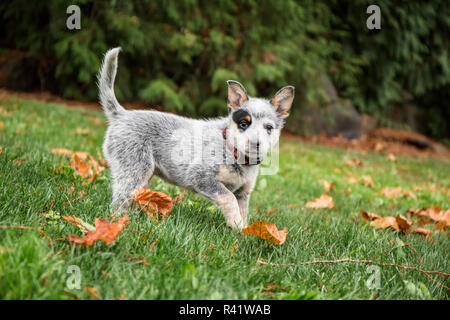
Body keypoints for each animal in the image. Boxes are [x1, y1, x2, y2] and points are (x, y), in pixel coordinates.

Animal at [98, 47, 294, 230]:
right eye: (243, 123)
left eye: (269, 128)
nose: (255, 143)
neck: (232, 151)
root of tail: (122, 115)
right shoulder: (201, 176)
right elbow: (227, 196)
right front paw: (236, 223)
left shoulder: (243, 193)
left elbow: (242, 210)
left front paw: (243, 230)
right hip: (135, 169)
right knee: (120, 200)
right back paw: (120, 222)